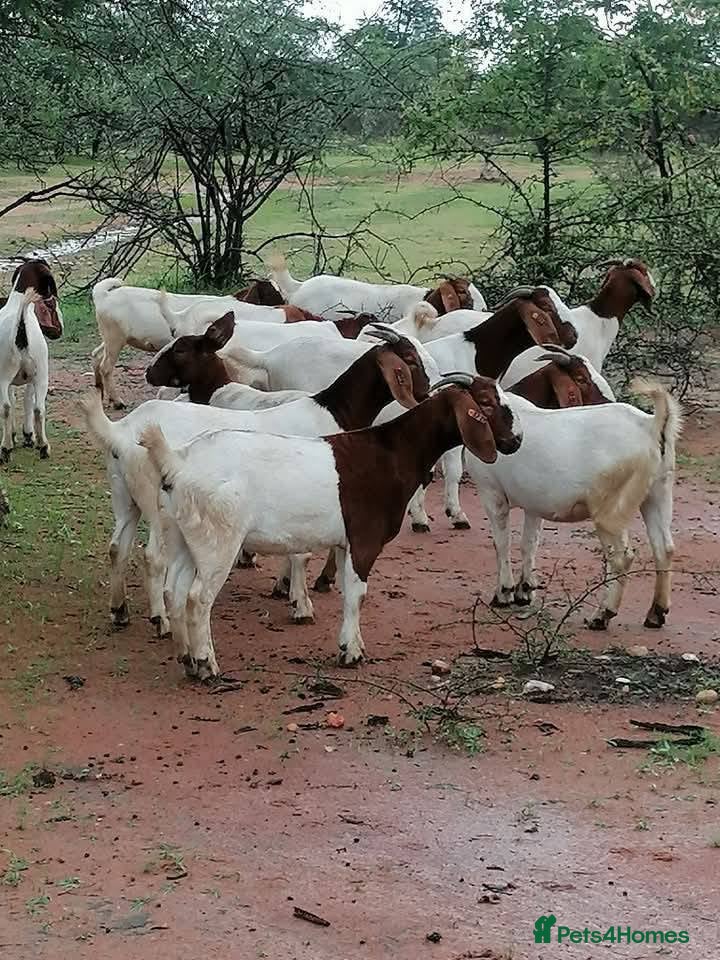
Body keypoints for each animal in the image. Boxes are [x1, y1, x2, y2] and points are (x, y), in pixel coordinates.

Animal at [0, 259, 63, 461]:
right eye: (50, 305)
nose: (58, 330)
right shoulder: (30, 378)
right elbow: (27, 400)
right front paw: (27, 435)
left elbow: (16, 401)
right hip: (41, 375)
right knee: (37, 408)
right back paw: (41, 446)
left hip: (9, 376)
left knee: (7, 407)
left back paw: (7, 448)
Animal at [82, 323, 430, 636]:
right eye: (410, 359)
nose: (426, 391)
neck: (332, 412)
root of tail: (122, 431)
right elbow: (302, 553)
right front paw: (300, 604)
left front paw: (288, 588)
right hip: (155, 502)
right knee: (153, 556)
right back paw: (161, 621)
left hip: (125, 495)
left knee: (118, 547)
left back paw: (120, 611)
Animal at [137, 373, 521, 679]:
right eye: (486, 403)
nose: (515, 441)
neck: (392, 453)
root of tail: (178, 463)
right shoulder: (364, 538)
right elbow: (356, 593)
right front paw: (350, 652)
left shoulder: (344, 541)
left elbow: (345, 587)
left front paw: (355, 644)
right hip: (219, 539)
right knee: (198, 597)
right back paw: (205, 664)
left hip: (183, 535)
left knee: (174, 590)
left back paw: (186, 658)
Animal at [464, 376, 680, 628]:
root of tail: (650, 425)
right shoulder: (533, 504)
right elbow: (528, 543)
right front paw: (524, 591)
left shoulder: (491, 492)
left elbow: (501, 544)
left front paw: (503, 594)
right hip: (658, 493)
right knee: (664, 548)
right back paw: (656, 613)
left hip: (610, 511)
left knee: (621, 557)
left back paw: (602, 615)